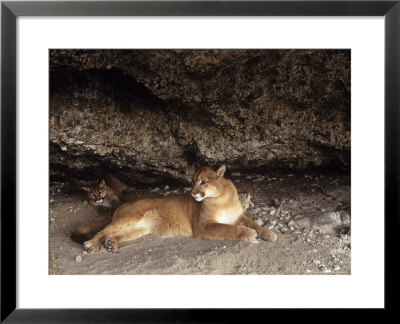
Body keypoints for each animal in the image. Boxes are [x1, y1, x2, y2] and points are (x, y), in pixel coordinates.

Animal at [71, 165, 278, 253]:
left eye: (203, 182)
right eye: (192, 181)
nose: (193, 193)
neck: (221, 197)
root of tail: (124, 204)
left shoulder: (239, 215)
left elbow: (254, 223)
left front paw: (268, 233)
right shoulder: (204, 226)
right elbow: (229, 228)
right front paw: (248, 233)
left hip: (139, 229)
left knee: (113, 234)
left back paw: (111, 244)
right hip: (129, 218)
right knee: (103, 231)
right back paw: (91, 245)